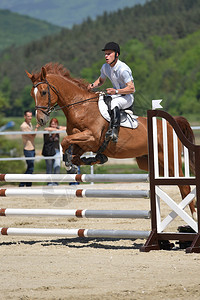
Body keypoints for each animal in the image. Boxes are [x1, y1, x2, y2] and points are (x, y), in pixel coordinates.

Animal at [25, 62, 196, 218]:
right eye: (32, 94)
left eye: (44, 92)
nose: (40, 120)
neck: (81, 107)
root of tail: (171, 124)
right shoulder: (85, 144)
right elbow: (73, 151)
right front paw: (85, 161)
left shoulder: (92, 137)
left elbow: (65, 141)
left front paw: (71, 164)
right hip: (149, 162)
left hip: (170, 160)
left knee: (184, 185)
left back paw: (193, 216)